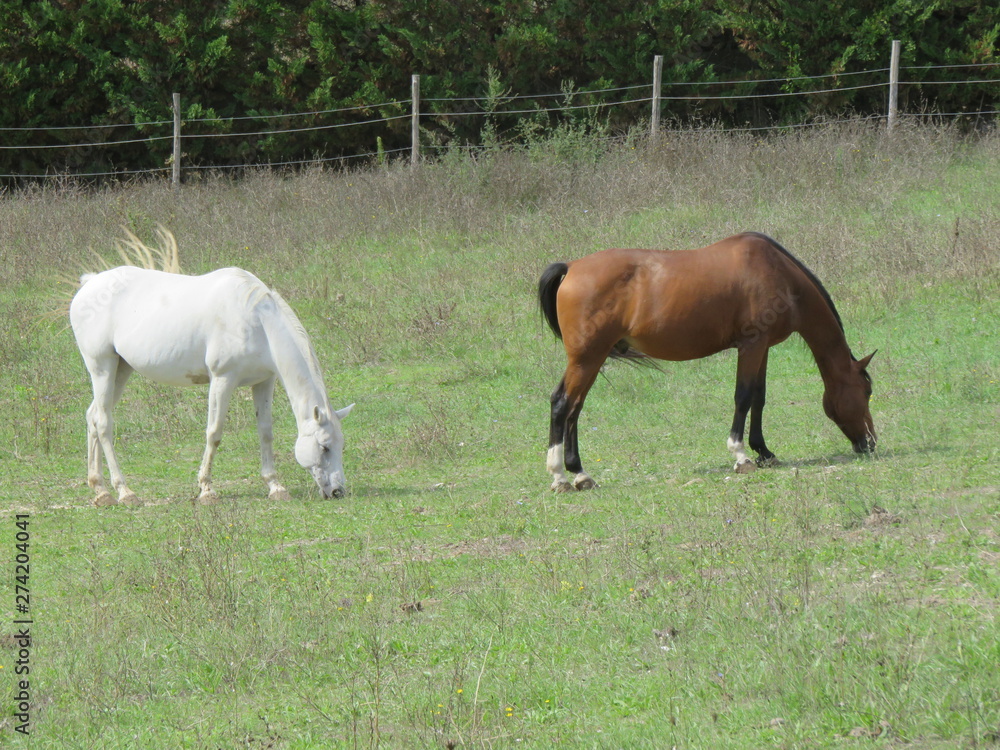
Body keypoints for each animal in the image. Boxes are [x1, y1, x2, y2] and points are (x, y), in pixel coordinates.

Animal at [69, 230, 353, 506]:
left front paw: (275, 486)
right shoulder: (222, 379)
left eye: (341, 445)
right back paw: (124, 491)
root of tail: (89, 284)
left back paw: (100, 491)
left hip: (121, 370)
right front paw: (206, 489)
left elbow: (265, 432)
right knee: (103, 423)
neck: (255, 320)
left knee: (92, 416)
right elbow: (214, 432)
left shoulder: (263, 381)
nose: (337, 491)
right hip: (102, 368)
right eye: (324, 447)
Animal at [537, 232, 875, 492]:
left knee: (574, 408)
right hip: (587, 358)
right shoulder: (751, 345)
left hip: (591, 360)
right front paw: (741, 456)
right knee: (562, 404)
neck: (780, 274)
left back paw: (580, 474)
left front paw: (764, 452)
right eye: (867, 392)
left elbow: (759, 397)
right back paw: (560, 476)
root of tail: (571, 267)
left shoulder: (763, 347)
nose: (870, 444)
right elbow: (743, 396)